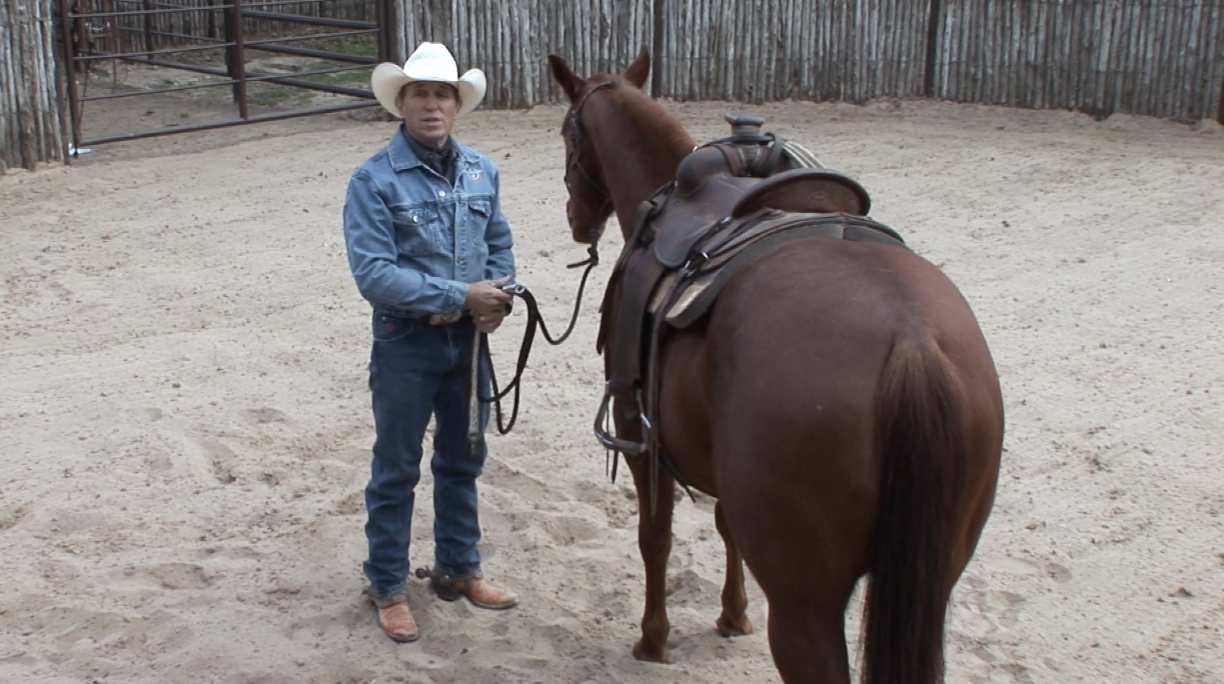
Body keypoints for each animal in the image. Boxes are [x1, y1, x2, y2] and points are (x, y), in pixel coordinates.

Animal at [547, 49, 1004, 684]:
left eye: (569, 137)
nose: (574, 217)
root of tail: (912, 344)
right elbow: (725, 528)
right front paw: (733, 614)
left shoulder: (641, 437)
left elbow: (655, 536)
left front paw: (653, 639)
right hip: (931, 584)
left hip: (804, 608)